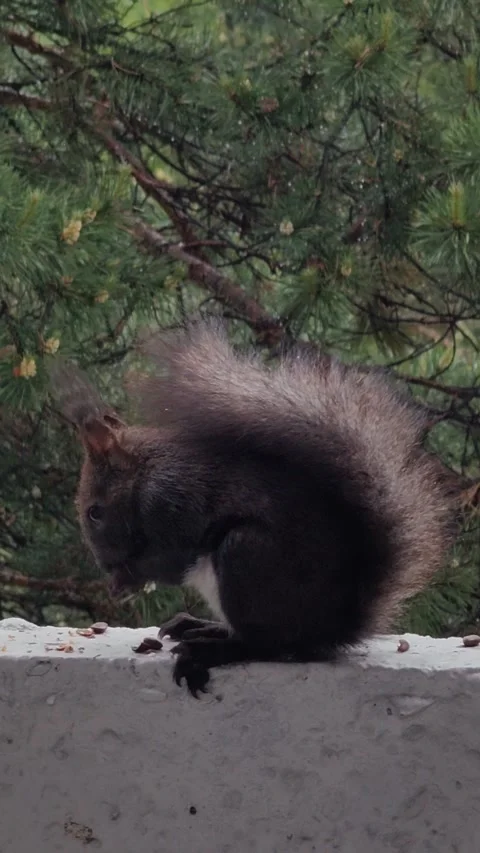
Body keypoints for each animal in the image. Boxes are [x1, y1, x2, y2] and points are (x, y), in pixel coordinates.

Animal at [52, 319, 457, 696]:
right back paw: (202, 627)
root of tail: (334, 626)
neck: (144, 473)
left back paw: (209, 649)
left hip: (247, 559)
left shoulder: (173, 502)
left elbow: (170, 559)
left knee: (266, 645)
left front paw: (124, 580)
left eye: (95, 512)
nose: (105, 565)